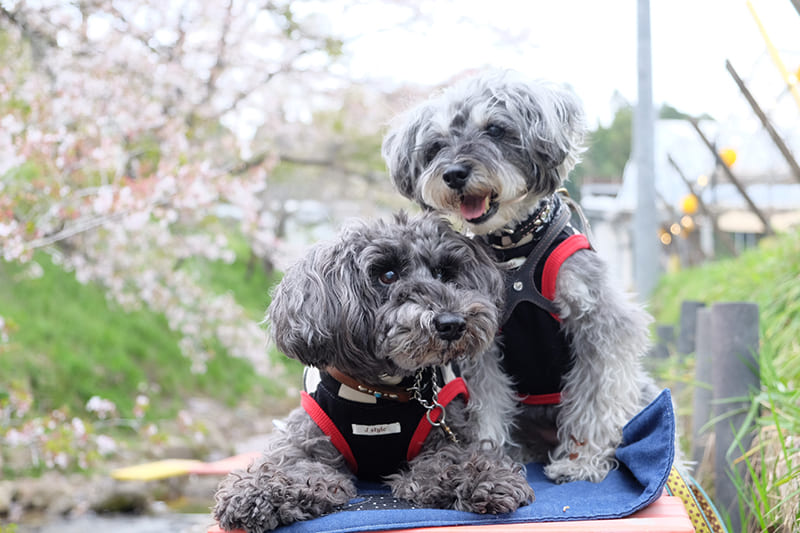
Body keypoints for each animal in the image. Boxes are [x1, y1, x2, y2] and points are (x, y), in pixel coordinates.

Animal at [216, 213, 536, 532]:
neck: (382, 393)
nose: (452, 323)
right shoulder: (304, 440)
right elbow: (291, 466)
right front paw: (257, 492)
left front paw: (486, 479)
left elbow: (452, 461)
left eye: (443, 272)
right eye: (388, 275)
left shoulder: (448, 430)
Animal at [382, 71, 664, 486]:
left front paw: (580, 462)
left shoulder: (599, 322)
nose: (454, 174)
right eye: (435, 146)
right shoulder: (482, 344)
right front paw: (489, 455)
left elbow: (595, 399)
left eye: (496, 130)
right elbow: (488, 403)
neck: (514, 249)